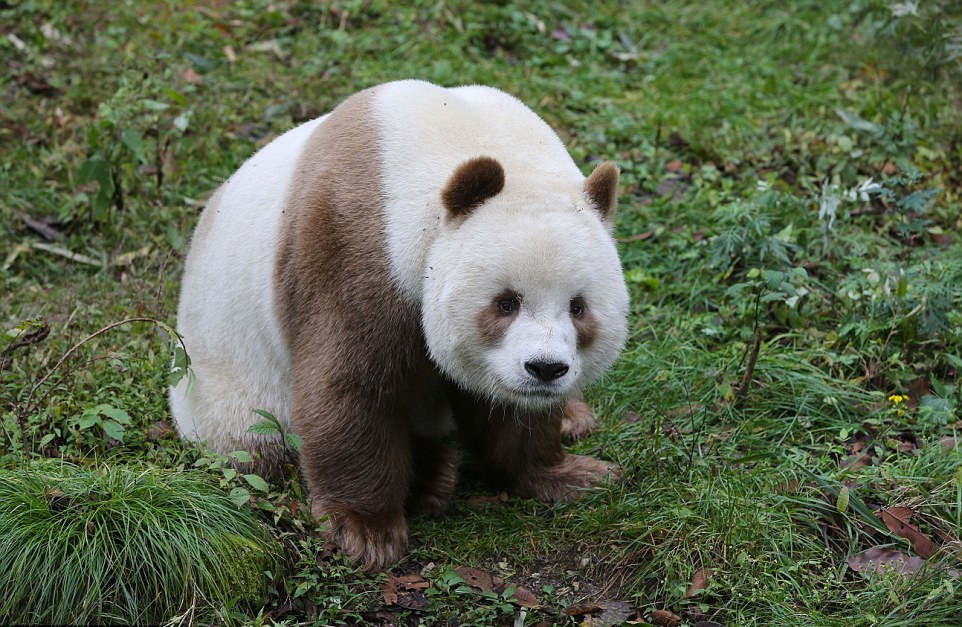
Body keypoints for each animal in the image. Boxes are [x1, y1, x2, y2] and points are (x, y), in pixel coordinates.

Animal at [172, 78, 632, 568]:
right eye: (505, 303)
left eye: (578, 307)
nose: (545, 369)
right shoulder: (354, 246)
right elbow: (351, 387)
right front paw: (366, 532)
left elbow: (511, 414)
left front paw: (573, 473)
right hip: (229, 388)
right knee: (259, 443)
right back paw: (434, 476)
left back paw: (572, 417)